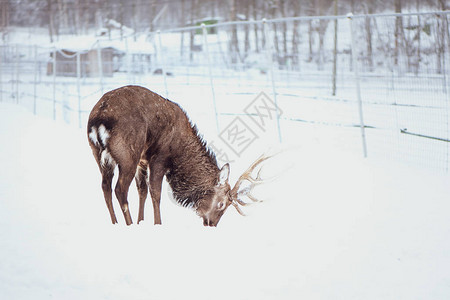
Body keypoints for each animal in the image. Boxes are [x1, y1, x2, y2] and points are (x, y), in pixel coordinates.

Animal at [87, 85, 270, 226]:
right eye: (222, 204)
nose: (211, 224)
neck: (179, 152)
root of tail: (99, 119)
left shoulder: (142, 161)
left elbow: (142, 191)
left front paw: (141, 221)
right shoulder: (159, 157)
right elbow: (155, 192)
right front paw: (157, 223)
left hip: (100, 155)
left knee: (105, 187)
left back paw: (115, 223)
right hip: (127, 155)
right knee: (120, 190)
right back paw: (128, 224)